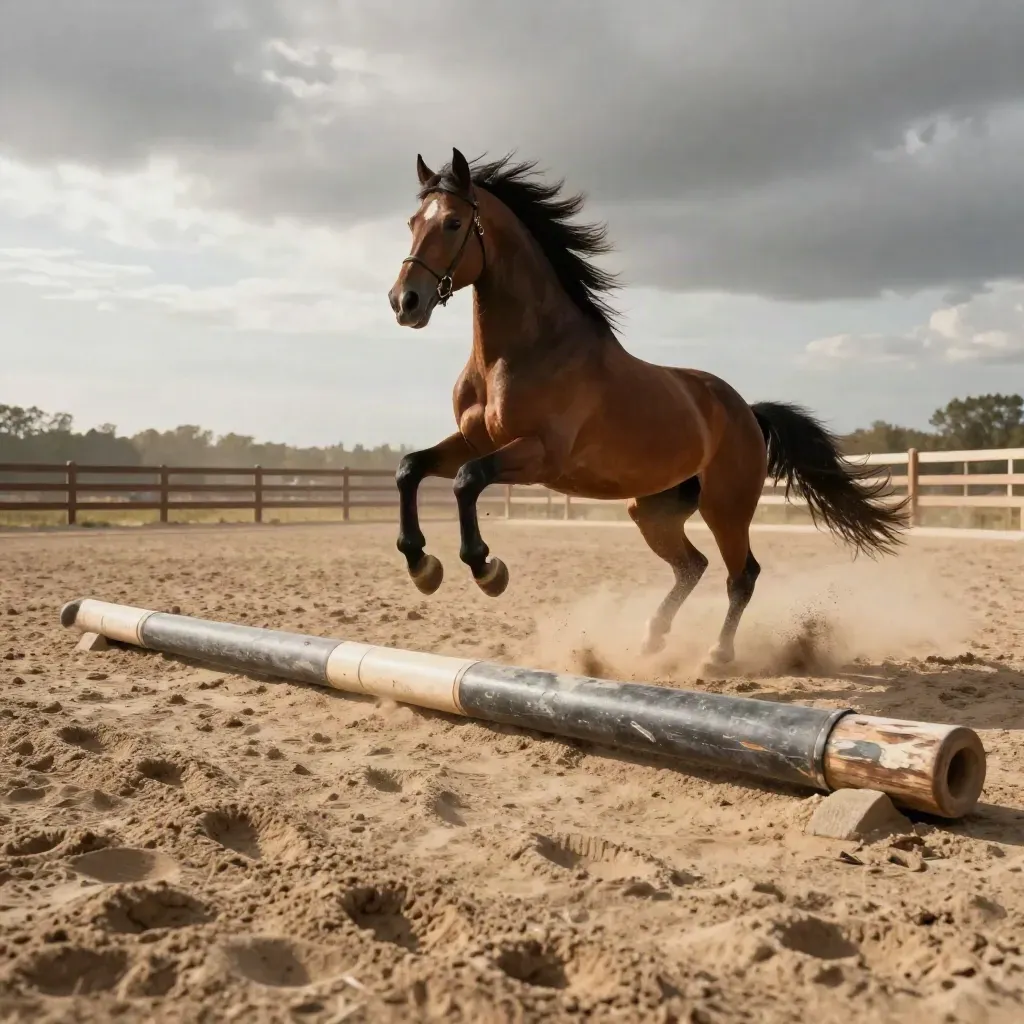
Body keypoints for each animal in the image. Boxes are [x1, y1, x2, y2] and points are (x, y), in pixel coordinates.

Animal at [386, 147, 909, 667]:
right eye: (412, 221)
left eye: (453, 223)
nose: (404, 302)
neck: (522, 353)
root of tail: (747, 411)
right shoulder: (474, 440)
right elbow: (410, 468)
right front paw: (422, 566)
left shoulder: (540, 455)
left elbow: (466, 480)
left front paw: (487, 569)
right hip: (652, 511)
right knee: (692, 565)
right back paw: (652, 638)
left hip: (726, 508)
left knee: (741, 574)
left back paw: (717, 654)